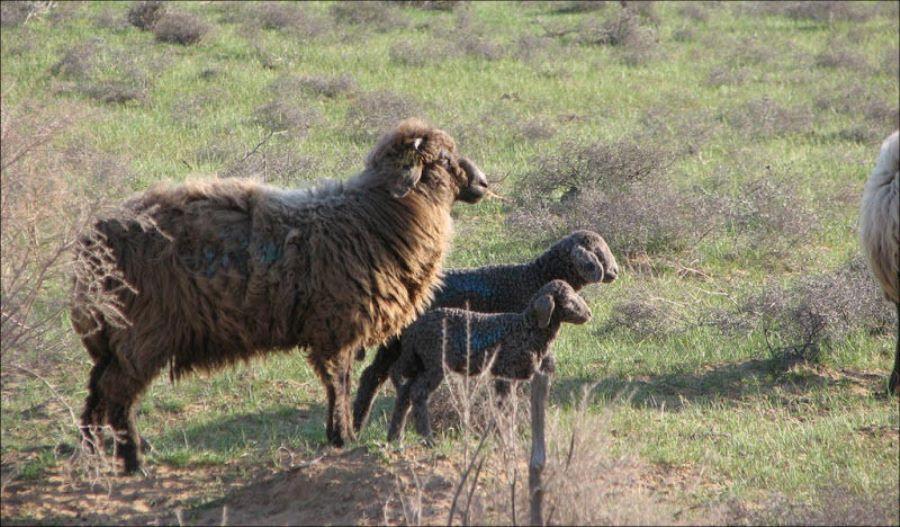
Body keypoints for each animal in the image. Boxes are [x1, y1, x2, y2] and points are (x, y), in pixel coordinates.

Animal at [71, 117, 488, 472]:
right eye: (444, 158)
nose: (483, 182)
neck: (376, 218)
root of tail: (89, 242)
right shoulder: (336, 327)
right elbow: (339, 382)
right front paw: (344, 437)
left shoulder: (334, 331)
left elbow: (339, 382)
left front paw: (336, 434)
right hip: (140, 332)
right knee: (119, 395)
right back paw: (133, 461)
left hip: (110, 337)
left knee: (97, 392)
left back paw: (92, 455)